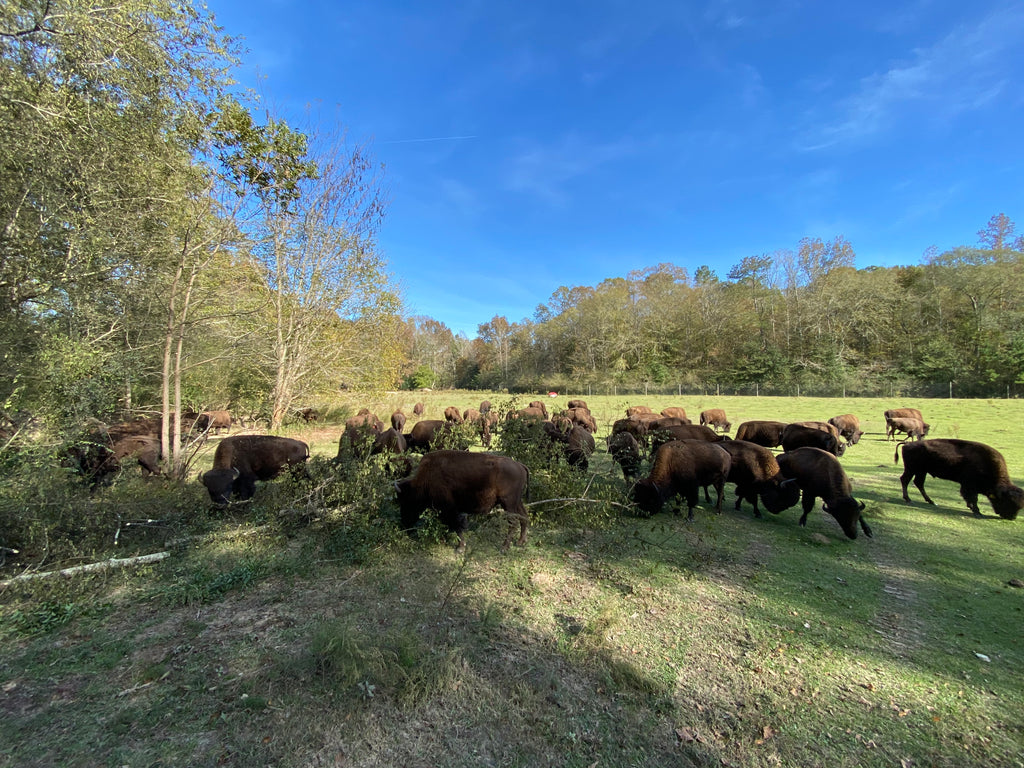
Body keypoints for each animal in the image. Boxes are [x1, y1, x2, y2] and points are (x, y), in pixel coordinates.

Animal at [395, 450, 532, 552]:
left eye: (406, 501)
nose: (404, 524)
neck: (426, 479)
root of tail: (520, 466)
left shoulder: (449, 509)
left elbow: (456, 525)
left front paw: (460, 547)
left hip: (508, 503)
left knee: (513, 522)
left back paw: (504, 547)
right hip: (516, 502)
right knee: (524, 517)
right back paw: (521, 542)